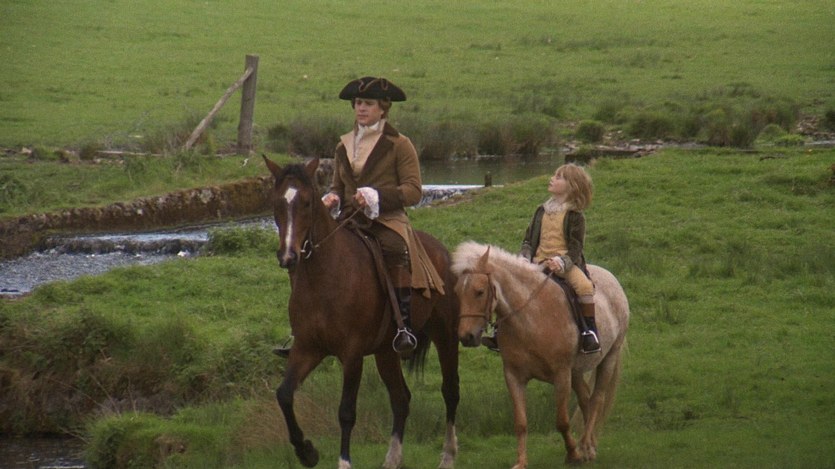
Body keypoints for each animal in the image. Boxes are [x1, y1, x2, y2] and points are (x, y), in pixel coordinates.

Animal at [263, 156, 460, 469]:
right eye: (276, 203)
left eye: (307, 202)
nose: (288, 257)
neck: (324, 278)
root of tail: (441, 250)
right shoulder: (308, 348)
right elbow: (284, 395)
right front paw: (306, 451)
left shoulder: (352, 354)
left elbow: (346, 412)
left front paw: (343, 461)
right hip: (386, 352)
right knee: (401, 398)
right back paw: (392, 459)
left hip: (445, 336)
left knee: (450, 391)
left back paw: (448, 456)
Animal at [451, 241, 629, 468]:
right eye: (457, 292)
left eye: (480, 292)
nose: (466, 337)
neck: (531, 318)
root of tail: (612, 279)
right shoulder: (514, 376)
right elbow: (520, 423)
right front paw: (521, 462)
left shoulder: (561, 375)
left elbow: (561, 421)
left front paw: (573, 455)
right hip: (576, 371)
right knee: (585, 399)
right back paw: (588, 445)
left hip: (609, 358)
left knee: (597, 398)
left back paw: (586, 448)